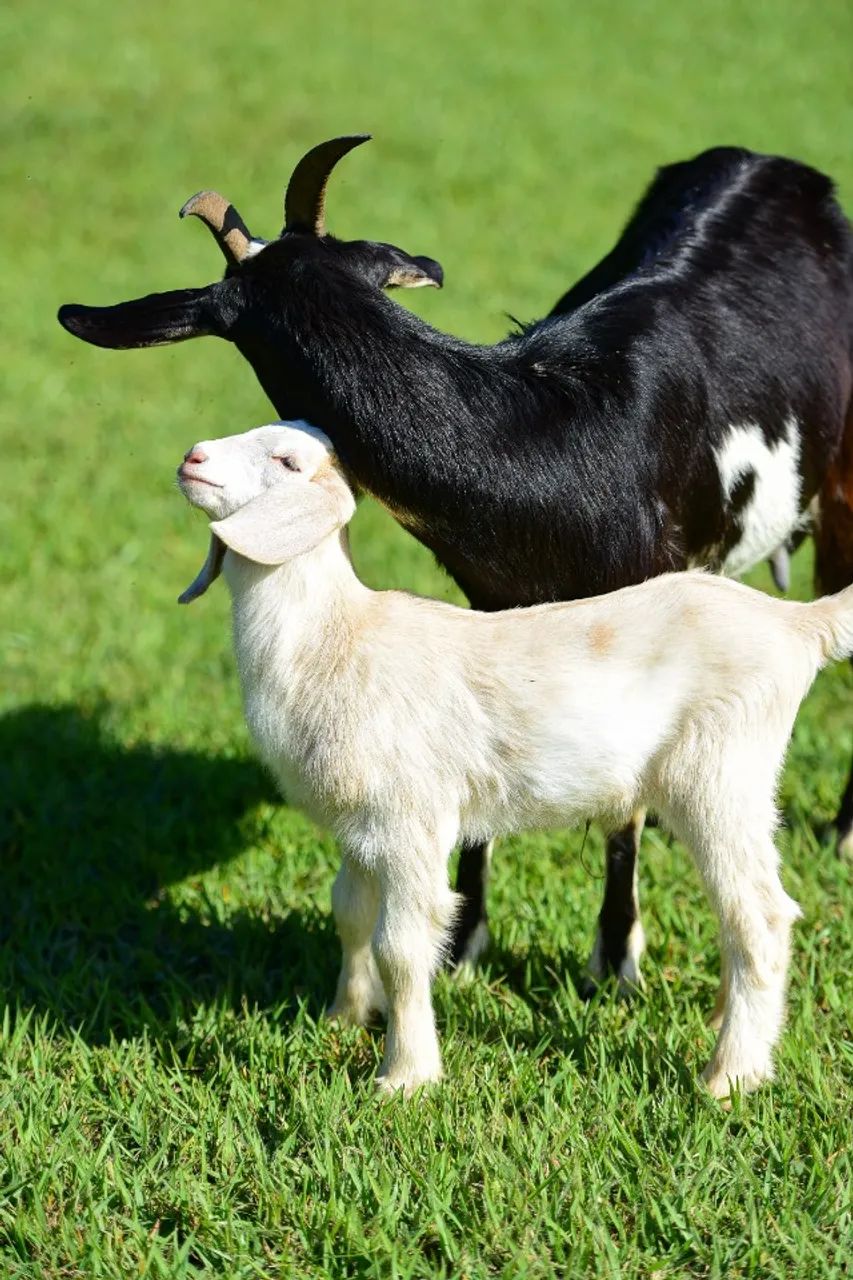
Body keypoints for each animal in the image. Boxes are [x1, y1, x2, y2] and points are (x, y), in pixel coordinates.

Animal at [58, 136, 853, 996]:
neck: (555, 429)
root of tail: (769, 163)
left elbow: (618, 819)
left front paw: (614, 958)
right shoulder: (492, 607)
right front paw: (463, 941)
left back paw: (840, 832)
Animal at [177, 420, 853, 1098]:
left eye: (288, 461)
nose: (193, 458)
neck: (333, 636)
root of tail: (797, 625)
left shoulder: (410, 819)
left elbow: (401, 947)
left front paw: (405, 1077)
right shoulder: (360, 825)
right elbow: (349, 912)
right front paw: (343, 1017)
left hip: (720, 776)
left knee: (761, 916)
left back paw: (729, 1075)